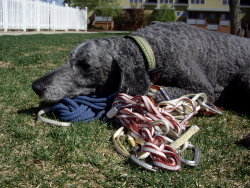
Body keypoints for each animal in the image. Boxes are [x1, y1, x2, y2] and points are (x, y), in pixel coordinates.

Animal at [32, 22, 250, 113]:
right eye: (70, 58)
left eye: (85, 65)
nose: (36, 86)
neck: (154, 47)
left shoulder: (204, 89)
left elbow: (156, 92)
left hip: (244, 78)